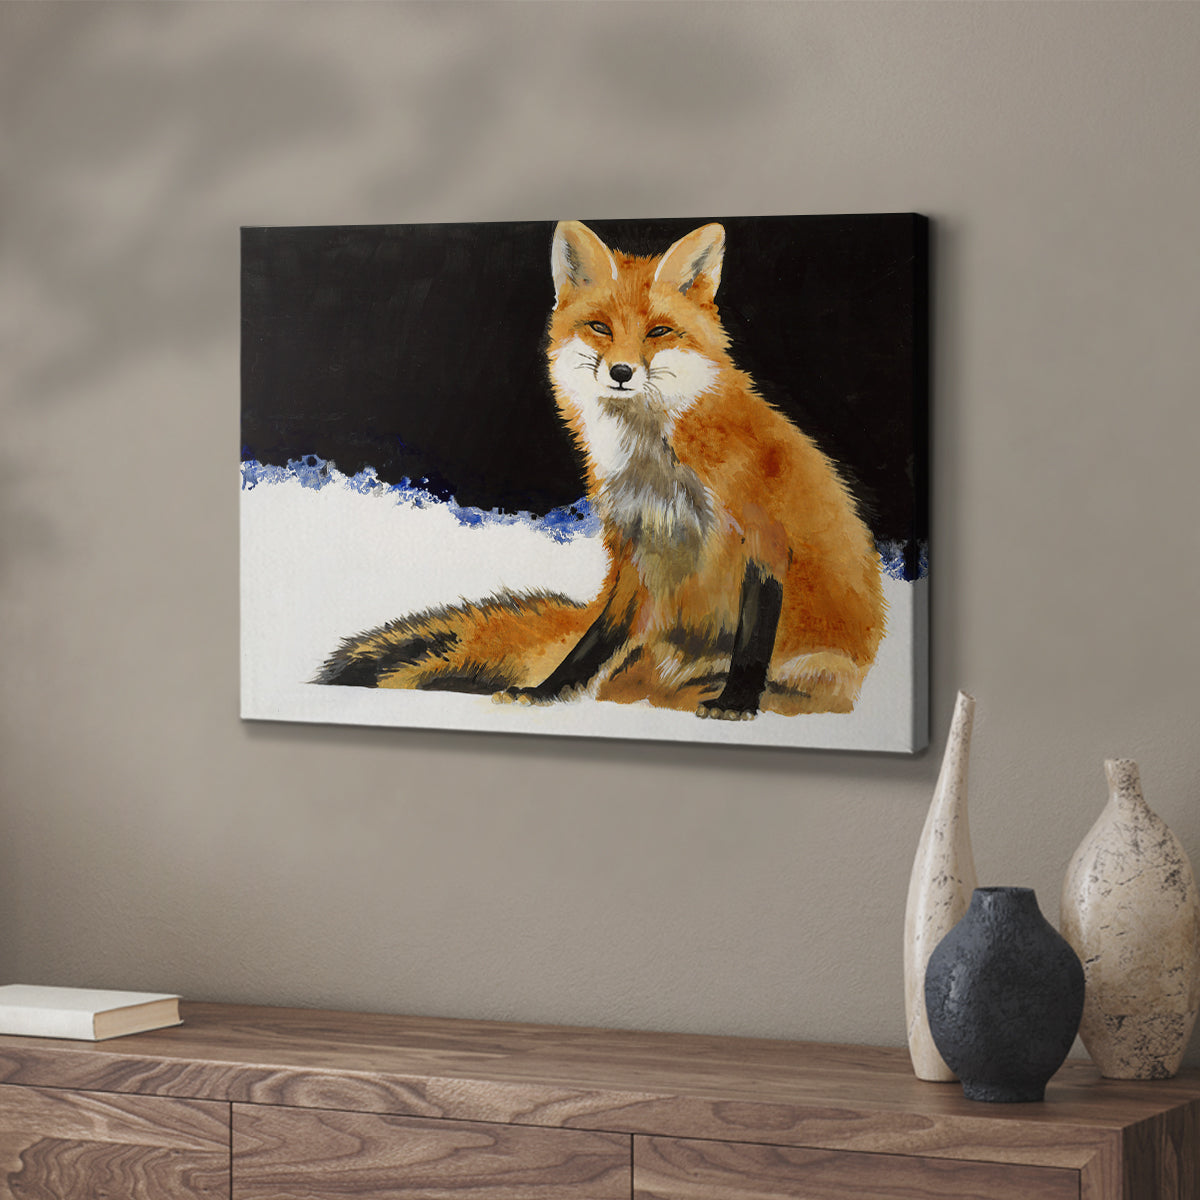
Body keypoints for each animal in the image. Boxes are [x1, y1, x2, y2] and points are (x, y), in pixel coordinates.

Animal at [316, 221, 886, 719]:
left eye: (659, 331)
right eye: (600, 327)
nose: (621, 372)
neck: (657, 466)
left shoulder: (765, 537)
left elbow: (753, 636)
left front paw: (736, 702)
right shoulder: (632, 547)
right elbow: (595, 640)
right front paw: (548, 691)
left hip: (821, 670)